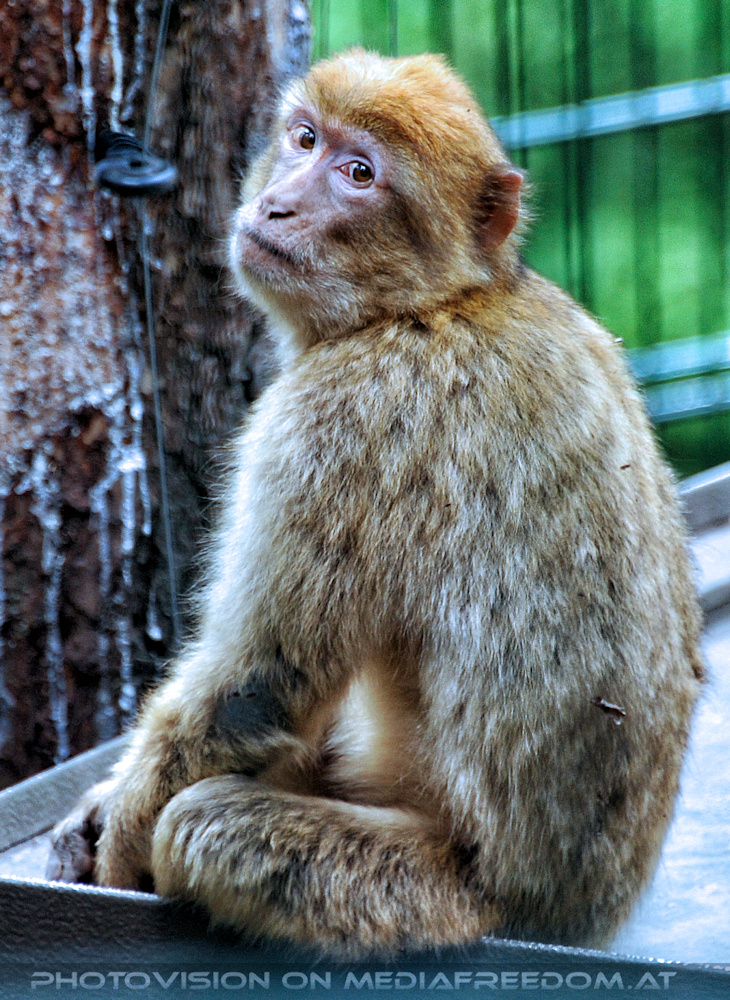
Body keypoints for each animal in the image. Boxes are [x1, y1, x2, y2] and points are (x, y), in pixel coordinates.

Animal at [47, 50, 704, 959]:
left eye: (359, 175)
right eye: (305, 139)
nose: (278, 203)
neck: (432, 303)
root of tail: (576, 919)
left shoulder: (338, 420)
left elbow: (258, 686)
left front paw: (116, 855)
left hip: (432, 898)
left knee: (205, 825)